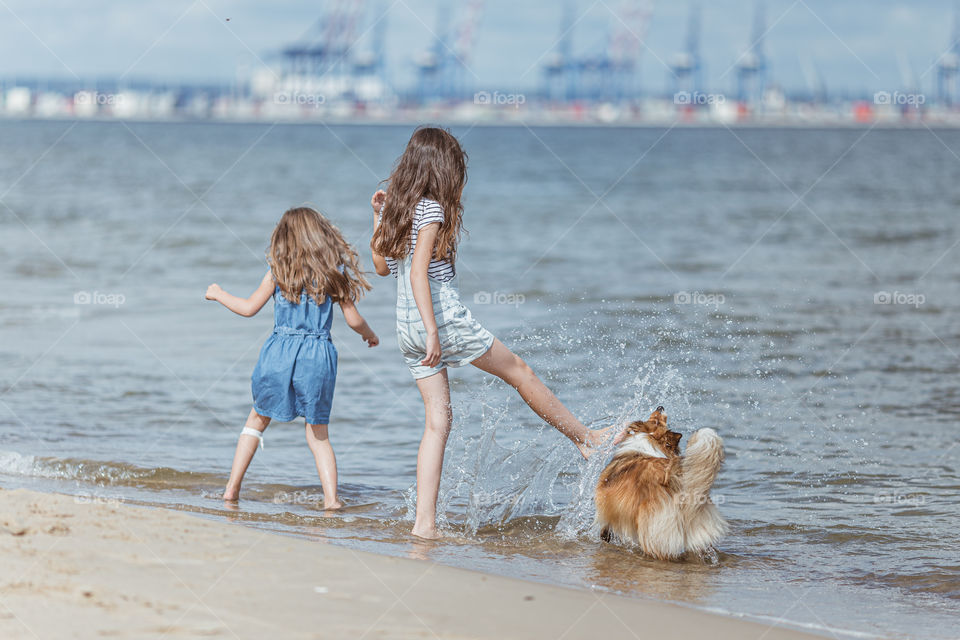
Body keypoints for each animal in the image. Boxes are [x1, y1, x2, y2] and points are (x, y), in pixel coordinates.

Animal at [592, 404, 728, 560]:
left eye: (657, 420)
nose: (660, 407)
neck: (650, 439)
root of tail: (674, 476)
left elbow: (605, 529)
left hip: (653, 527)